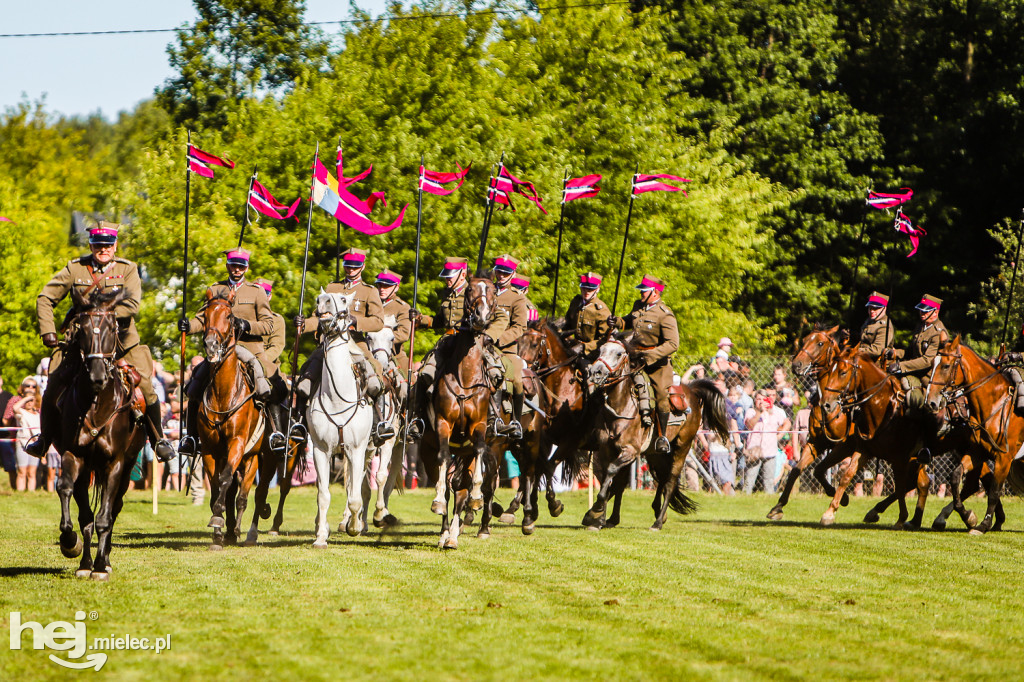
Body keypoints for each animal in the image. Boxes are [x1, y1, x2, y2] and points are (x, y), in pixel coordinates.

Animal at [52, 288, 148, 577]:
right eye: (81, 329)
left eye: (112, 327)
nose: (97, 376)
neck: (95, 404)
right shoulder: (75, 456)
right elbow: (70, 497)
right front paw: (72, 546)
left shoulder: (114, 463)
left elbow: (105, 517)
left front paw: (100, 566)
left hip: (126, 468)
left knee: (114, 509)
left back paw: (104, 560)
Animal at [193, 292, 276, 548]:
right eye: (205, 315)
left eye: (229, 316)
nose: (211, 345)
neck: (224, 393)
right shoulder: (210, 450)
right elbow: (217, 484)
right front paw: (218, 528)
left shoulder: (237, 444)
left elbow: (227, 480)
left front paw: (219, 522)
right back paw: (229, 531)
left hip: (258, 460)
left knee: (249, 496)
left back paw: (243, 532)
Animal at [305, 288, 374, 544]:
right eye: (320, 298)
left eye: (344, 299)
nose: (322, 301)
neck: (336, 399)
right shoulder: (320, 450)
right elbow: (323, 495)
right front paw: (320, 536)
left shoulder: (357, 450)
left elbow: (354, 497)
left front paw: (354, 526)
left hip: (367, 452)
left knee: (358, 487)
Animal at [925, 333, 1019, 532]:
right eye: (932, 364)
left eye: (946, 365)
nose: (931, 402)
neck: (995, 404)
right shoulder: (978, 452)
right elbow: (956, 477)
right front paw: (968, 516)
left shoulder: (1004, 459)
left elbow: (994, 491)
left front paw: (984, 524)